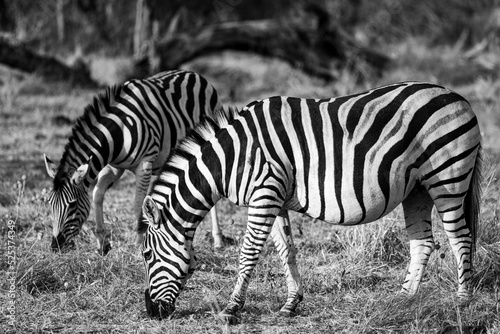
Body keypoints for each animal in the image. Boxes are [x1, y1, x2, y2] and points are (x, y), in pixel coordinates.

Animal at [43, 69, 227, 254]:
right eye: (50, 203)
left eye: (72, 205)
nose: (55, 246)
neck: (118, 133)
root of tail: (194, 74)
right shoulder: (113, 167)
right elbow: (97, 195)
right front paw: (102, 242)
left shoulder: (144, 165)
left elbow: (138, 204)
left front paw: (138, 242)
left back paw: (218, 240)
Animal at [139, 81, 482, 320]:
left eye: (146, 255)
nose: (151, 312)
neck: (231, 158)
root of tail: (458, 97)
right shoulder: (275, 198)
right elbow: (286, 250)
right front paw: (291, 304)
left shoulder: (264, 193)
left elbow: (248, 253)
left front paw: (231, 308)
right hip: (417, 189)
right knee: (423, 243)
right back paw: (403, 299)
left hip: (447, 177)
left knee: (460, 238)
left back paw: (463, 302)